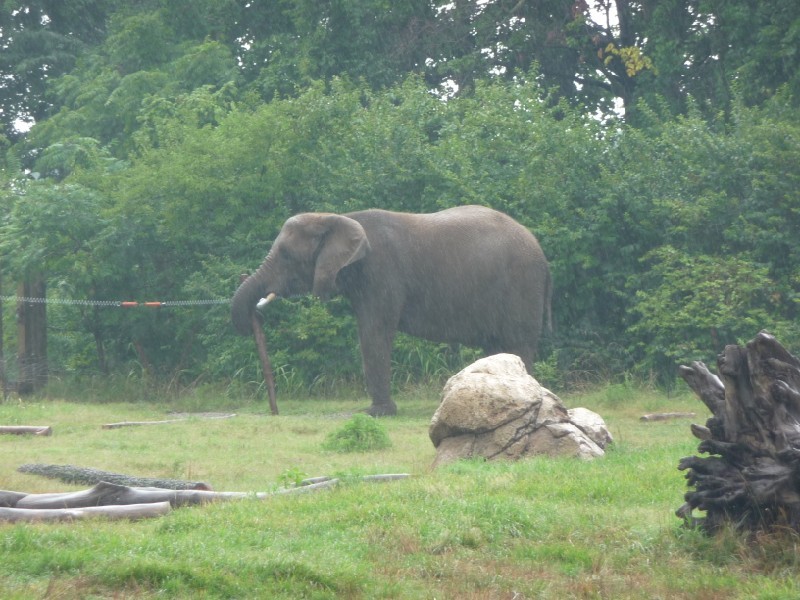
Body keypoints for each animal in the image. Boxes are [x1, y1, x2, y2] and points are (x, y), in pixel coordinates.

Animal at [233, 204, 552, 414]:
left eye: (286, 255)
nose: (255, 316)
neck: (340, 219)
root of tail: (540, 250)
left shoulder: (381, 274)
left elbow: (374, 332)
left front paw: (378, 413)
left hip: (522, 284)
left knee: (517, 344)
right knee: (497, 349)